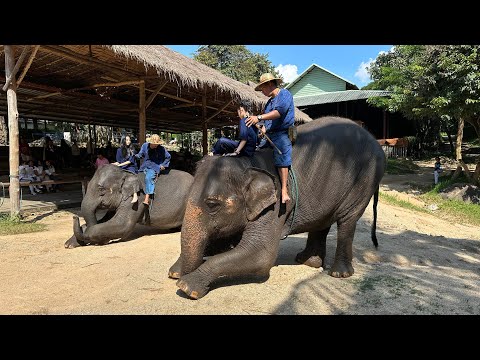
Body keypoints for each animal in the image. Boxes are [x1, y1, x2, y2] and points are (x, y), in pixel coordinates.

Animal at [64, 165, 194, 249]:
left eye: (101, 189)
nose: (75, 217)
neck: (125, 173)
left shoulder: (138, 198)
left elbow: (122, 224)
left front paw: (100, 239)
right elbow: (106, 220)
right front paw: (69, 244)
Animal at [169, 117, 386, 298]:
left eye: (212, 204)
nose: (178, 274)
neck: (249, 162)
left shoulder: (276, 204)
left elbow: (260, 254)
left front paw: (186, 286)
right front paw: (174, 272)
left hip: (364, 183)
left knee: (347, 221)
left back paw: (338, 273)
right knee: (322, 221)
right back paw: (307, 261)